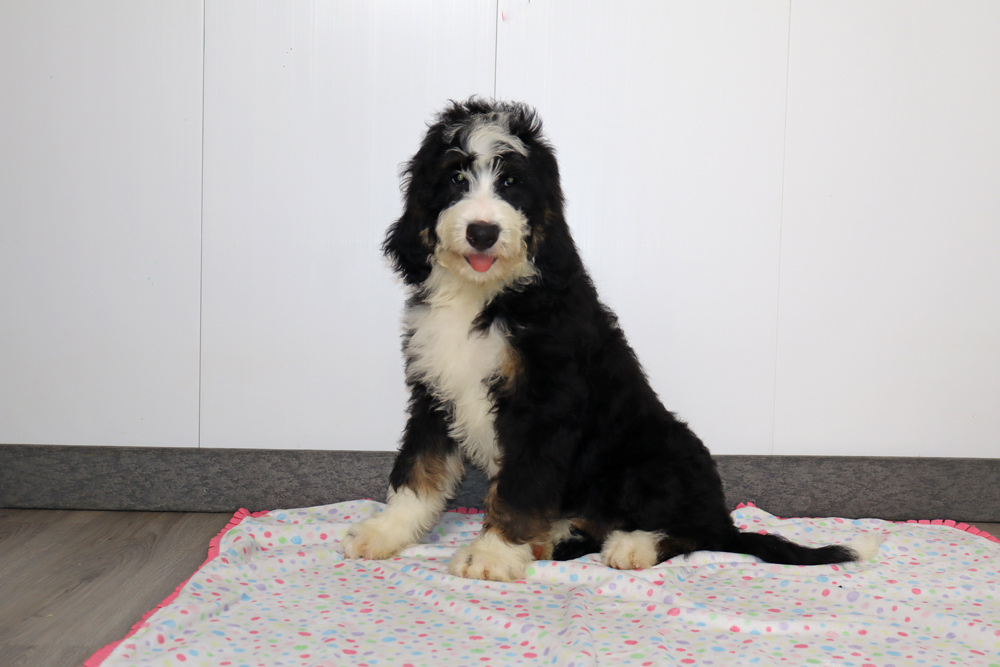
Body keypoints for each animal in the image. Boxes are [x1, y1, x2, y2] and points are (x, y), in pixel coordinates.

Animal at [343, 98, 880, 581]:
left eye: (512, 183)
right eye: (456, 178)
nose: (482, 232)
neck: (485, 295)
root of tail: (721, 513)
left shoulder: (543, 404)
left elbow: (518, 487)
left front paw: (492, 555)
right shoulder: (435, 389)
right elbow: (418, 469)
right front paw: (386, 532)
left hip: (652, 456)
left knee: (696, 532)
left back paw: (633, 545)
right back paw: (554, 536)